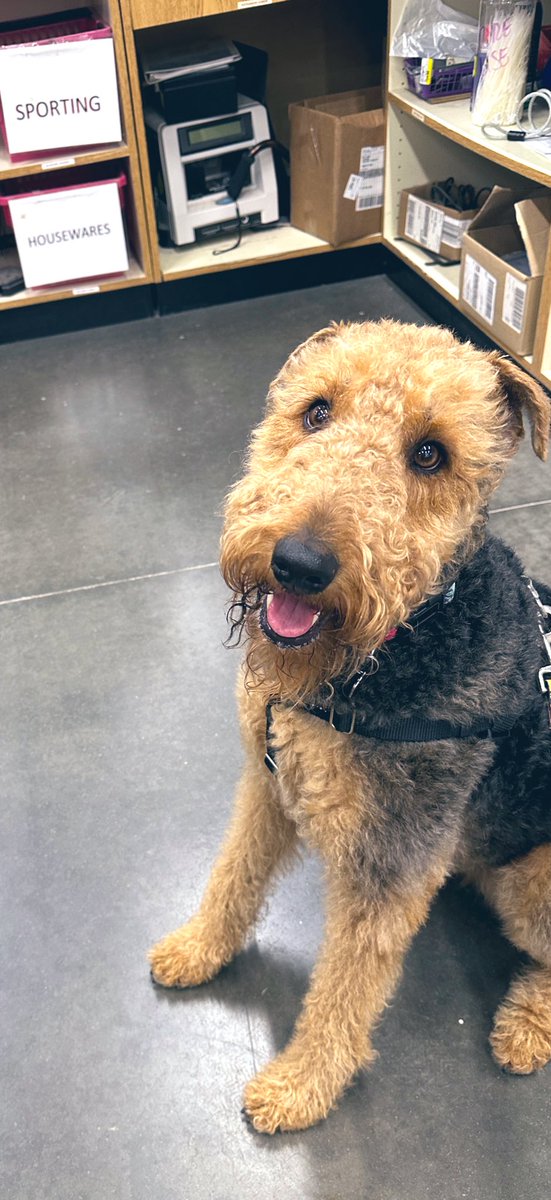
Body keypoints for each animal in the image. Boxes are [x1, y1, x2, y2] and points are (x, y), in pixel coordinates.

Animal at [150, 321, 551, 1132]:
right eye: (316, 411)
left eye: (430, 453)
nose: (299, 563)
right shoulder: (269, 783)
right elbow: (231, 878)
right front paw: (194, 949)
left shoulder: (388, 867)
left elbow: (345, 990)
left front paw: (297, 1088)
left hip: (535, 887)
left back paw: (525, 1028)